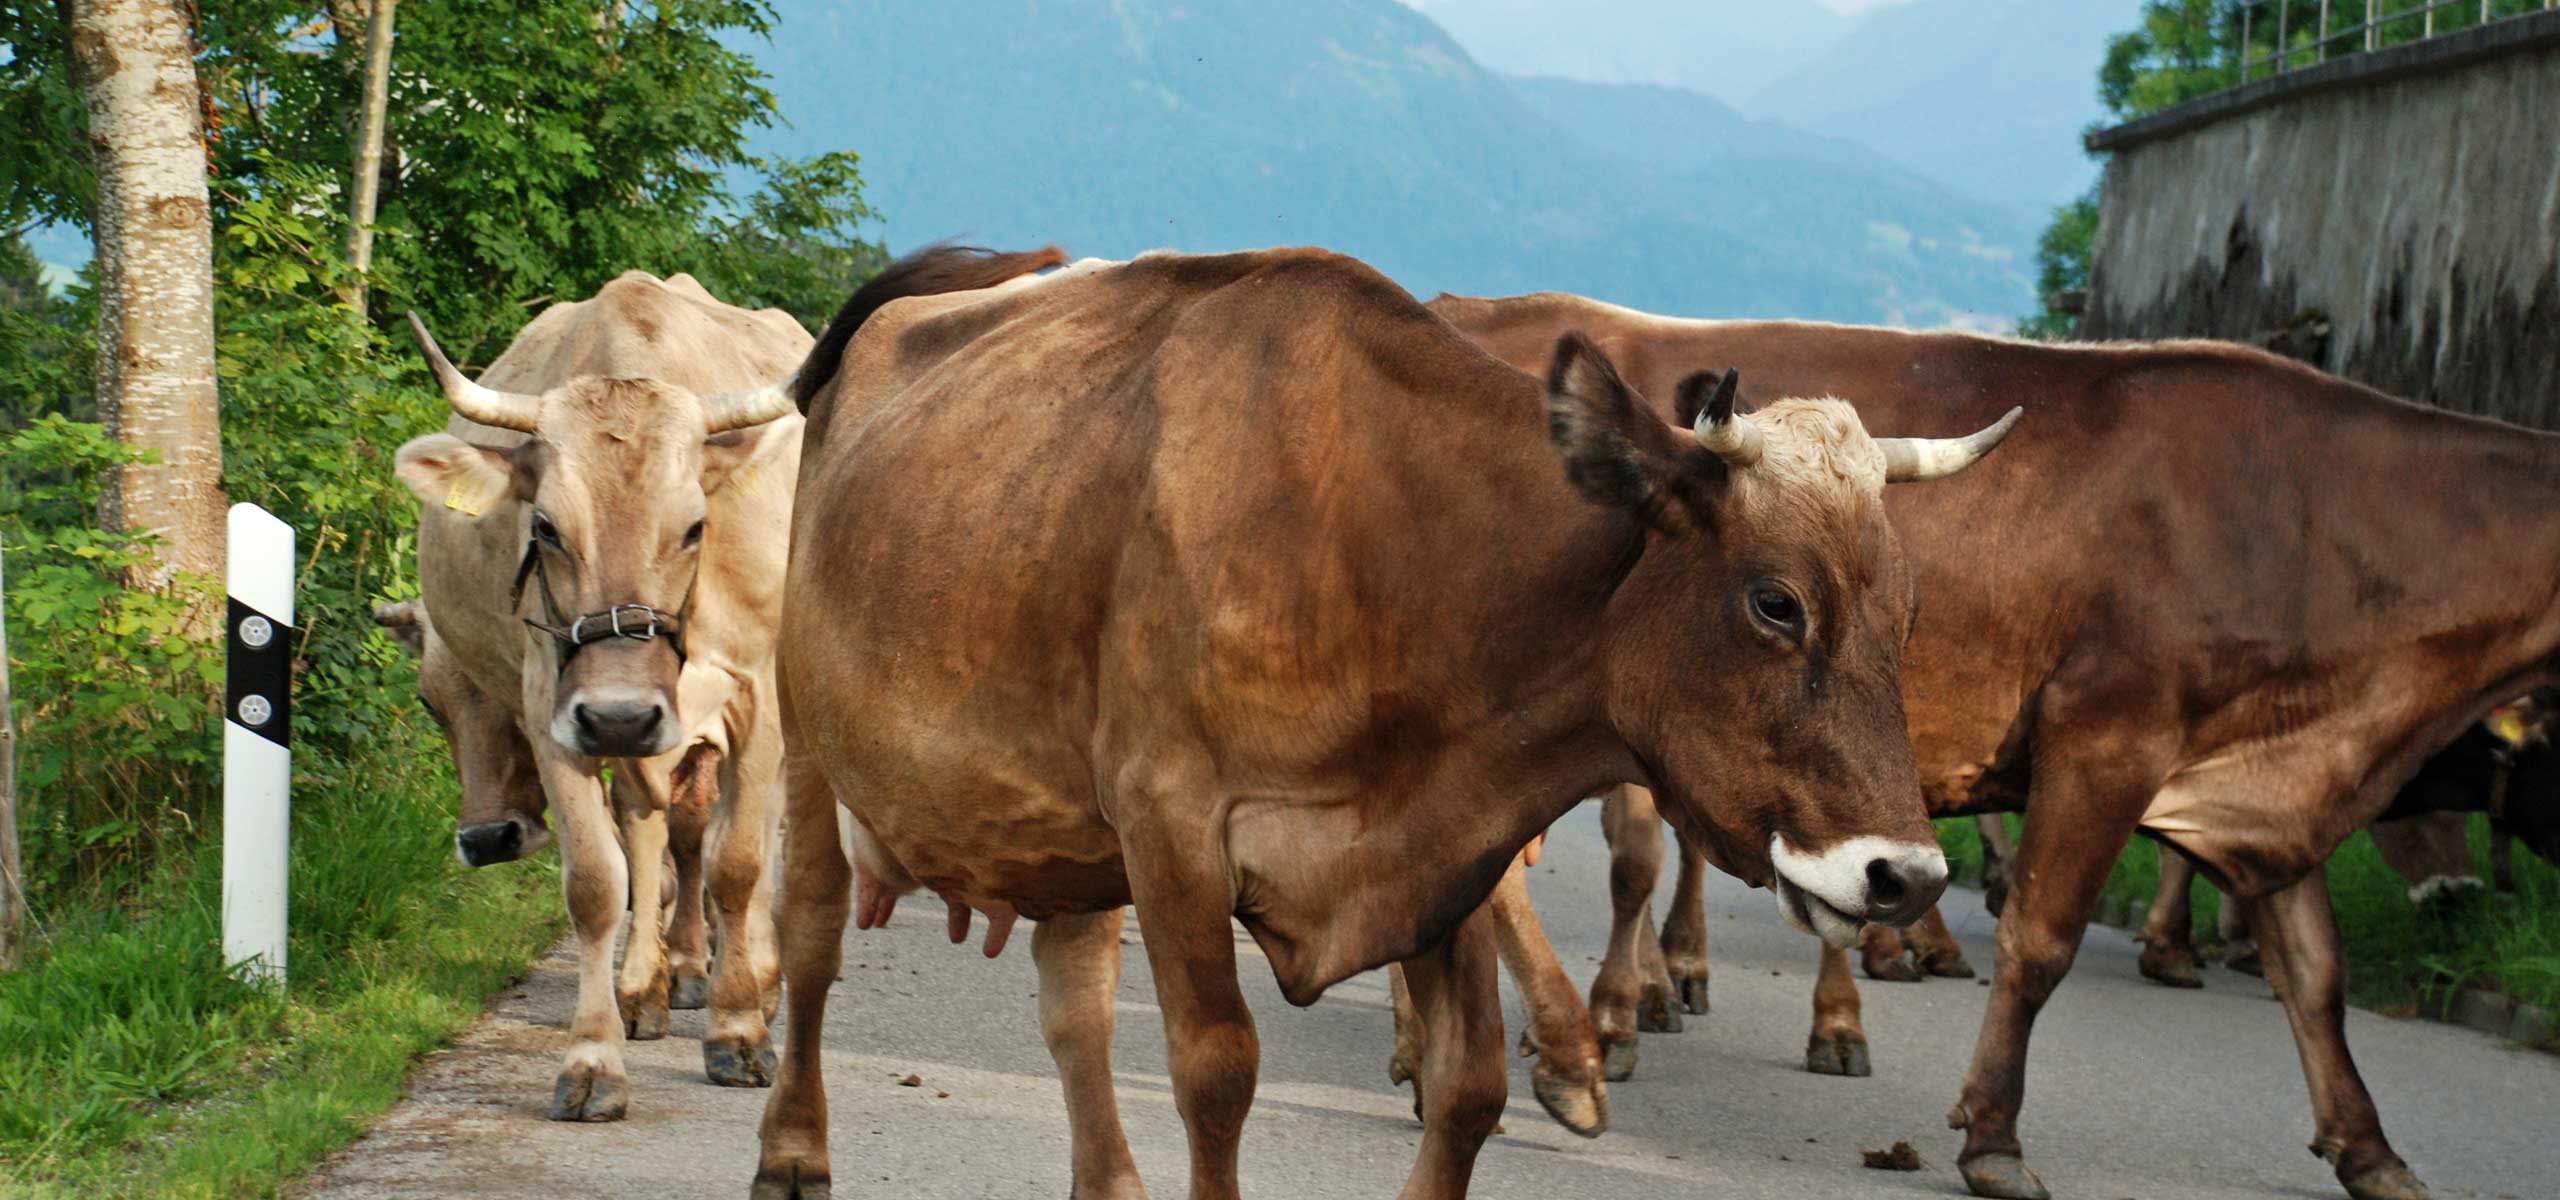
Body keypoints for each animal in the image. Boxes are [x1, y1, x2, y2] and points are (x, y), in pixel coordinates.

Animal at [390, 270, 810, 1121]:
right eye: (546, 528)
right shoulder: (557, 705)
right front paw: (594, 1058)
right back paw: (646, 986)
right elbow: (597, 880)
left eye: (695, 526)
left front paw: (739, 1030)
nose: (486, 839)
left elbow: (738, 865)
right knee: (649, 832)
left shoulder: (758, 700)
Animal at [750, 246, 2017, 1200]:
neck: (1389, 544)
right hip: (812, 743)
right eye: (1774, 601)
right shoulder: (1171, 824)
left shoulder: (1445, 844)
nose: (1906, 876)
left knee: (1075, 1011)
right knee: (809, 940)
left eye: (1904, 613)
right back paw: (791, 1151)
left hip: (1063, 829)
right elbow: (1217, 1071)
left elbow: (1469, 1090)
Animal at [1409, 290, 2560, 1200]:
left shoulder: (2259, 789)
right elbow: (2041, 942)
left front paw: (2372, 1153)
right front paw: (1994, 1138)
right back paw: (1569, 1050)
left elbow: (2316, 978)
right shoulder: (2107, 736)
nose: (2465, 894)